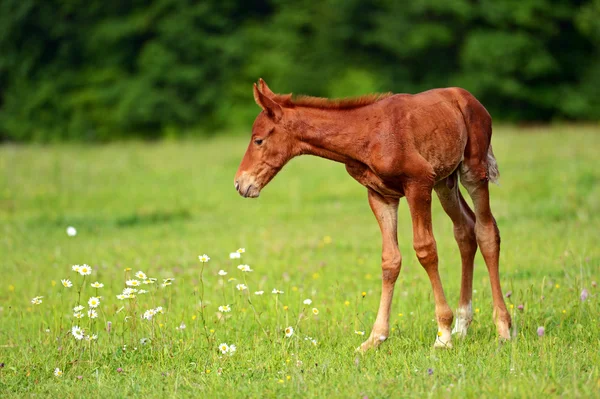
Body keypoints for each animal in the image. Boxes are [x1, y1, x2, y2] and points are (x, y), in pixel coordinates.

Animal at [234, 79, 510, 350]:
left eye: (258, 140)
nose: (240, 184)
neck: (366, 136)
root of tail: (470, 98)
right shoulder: (380, 195)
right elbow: (390, 260)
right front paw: (375, 338)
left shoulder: (418, 183)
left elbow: (425, 250)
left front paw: (442, 335)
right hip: (446, 181)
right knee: (465, 231)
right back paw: (462, 326)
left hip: (473, 170)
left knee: (486, 231)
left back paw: (503, 329)